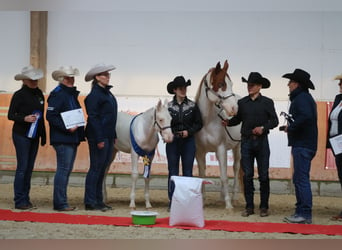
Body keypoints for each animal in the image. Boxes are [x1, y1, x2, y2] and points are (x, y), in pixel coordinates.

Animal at [194, 60, 242, 209]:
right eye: (221, 84)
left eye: (231, 84)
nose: (234, 109)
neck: (207, 121)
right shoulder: (200, 152)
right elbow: (202, 176)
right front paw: (202, 201)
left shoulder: (221, 148)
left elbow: (224, 176)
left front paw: (229, 205)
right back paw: (221, 198)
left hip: (237, 147)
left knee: (236, 168)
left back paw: (234, 198)